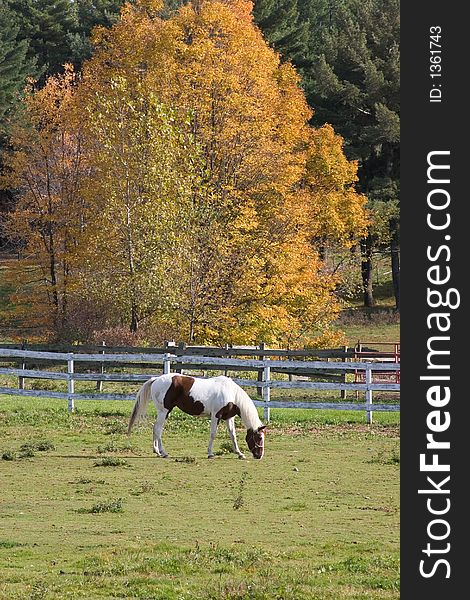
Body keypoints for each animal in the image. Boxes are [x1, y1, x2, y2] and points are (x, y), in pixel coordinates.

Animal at [129, 372, 266, 462]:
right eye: (259, 437)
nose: (259, 456)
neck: (231, 393)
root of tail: (156, 379)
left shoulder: (228, 417)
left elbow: (233, 435)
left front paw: (239, 454)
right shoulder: (216, 415)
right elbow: (213, 434)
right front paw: (210, 454)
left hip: (164, 412)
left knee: (155, 429)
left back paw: (156, 451)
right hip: (164, 412)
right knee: (158, 430)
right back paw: (162, 453)